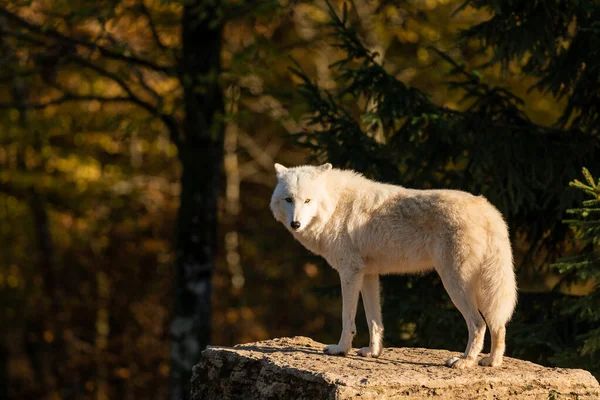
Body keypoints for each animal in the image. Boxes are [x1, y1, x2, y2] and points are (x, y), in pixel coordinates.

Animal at [270, 162, 516, 368]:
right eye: (289, 199)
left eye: (308, 200)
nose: (295, 223)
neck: (335, 205)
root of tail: (488, 210)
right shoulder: (368, 274)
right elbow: (374, 320)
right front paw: (372, 352)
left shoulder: (349, 272)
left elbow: (347, 318)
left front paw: (340, 349)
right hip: (485, 288)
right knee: (498, 324)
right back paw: (492, 361)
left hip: (456, 284)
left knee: (478, 324)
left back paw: (465, 361)